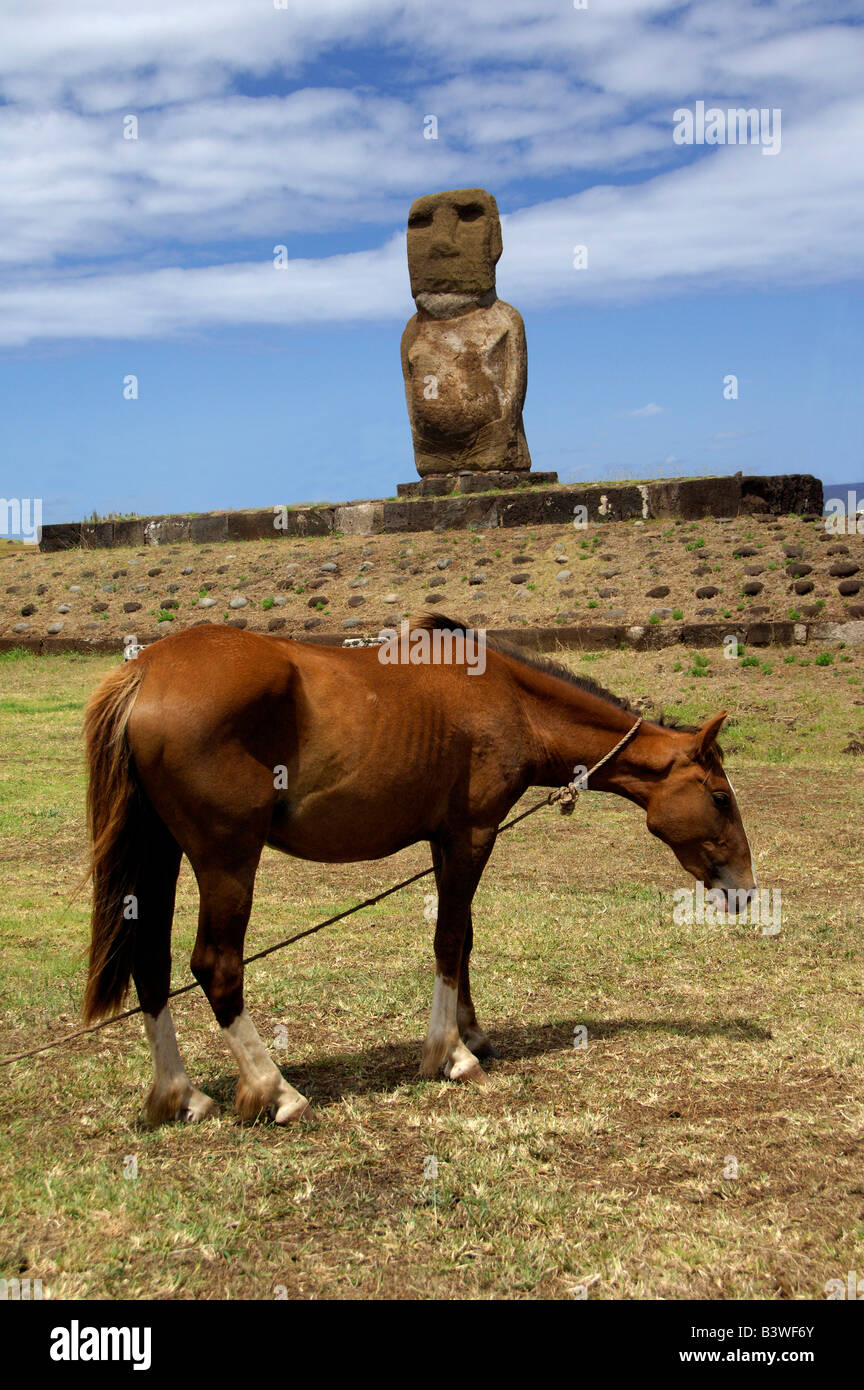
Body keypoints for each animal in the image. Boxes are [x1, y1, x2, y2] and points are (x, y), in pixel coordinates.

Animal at [82, 614, 755, 1123]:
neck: (511, 699)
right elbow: (450, 939)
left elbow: (464, 940)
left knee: (151, 963)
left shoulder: (446, 840)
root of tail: (144, 671)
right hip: (227, 857)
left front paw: (471, 1032)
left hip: (161, 853)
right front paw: (449, 1053)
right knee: (215, 965)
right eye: (721, 797)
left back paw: (180, 1093)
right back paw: (277, 1091)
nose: (745, 890)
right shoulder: (472, 834)